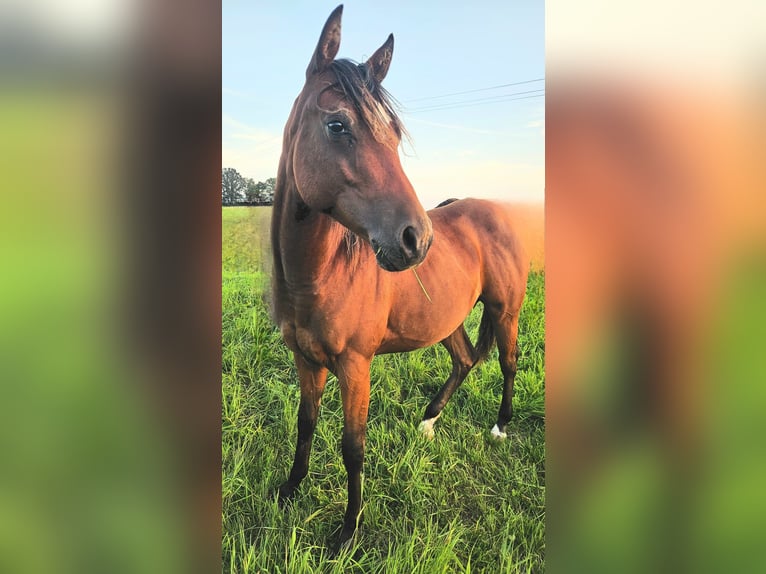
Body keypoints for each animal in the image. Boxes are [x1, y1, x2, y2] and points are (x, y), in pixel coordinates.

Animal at [268, 6, 528, 552]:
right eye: (338, 125)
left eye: (393, 133)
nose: (417, 239)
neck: (318, 276)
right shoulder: (306, 360)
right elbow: (304, 426)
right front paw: (289, 490)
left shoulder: (355, 366)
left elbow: (352, 447)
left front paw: (347, 532)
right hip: (447, 319)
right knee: (465, 359)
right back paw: (429, 420)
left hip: (506, 310)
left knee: (508, 362)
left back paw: (499, 427)